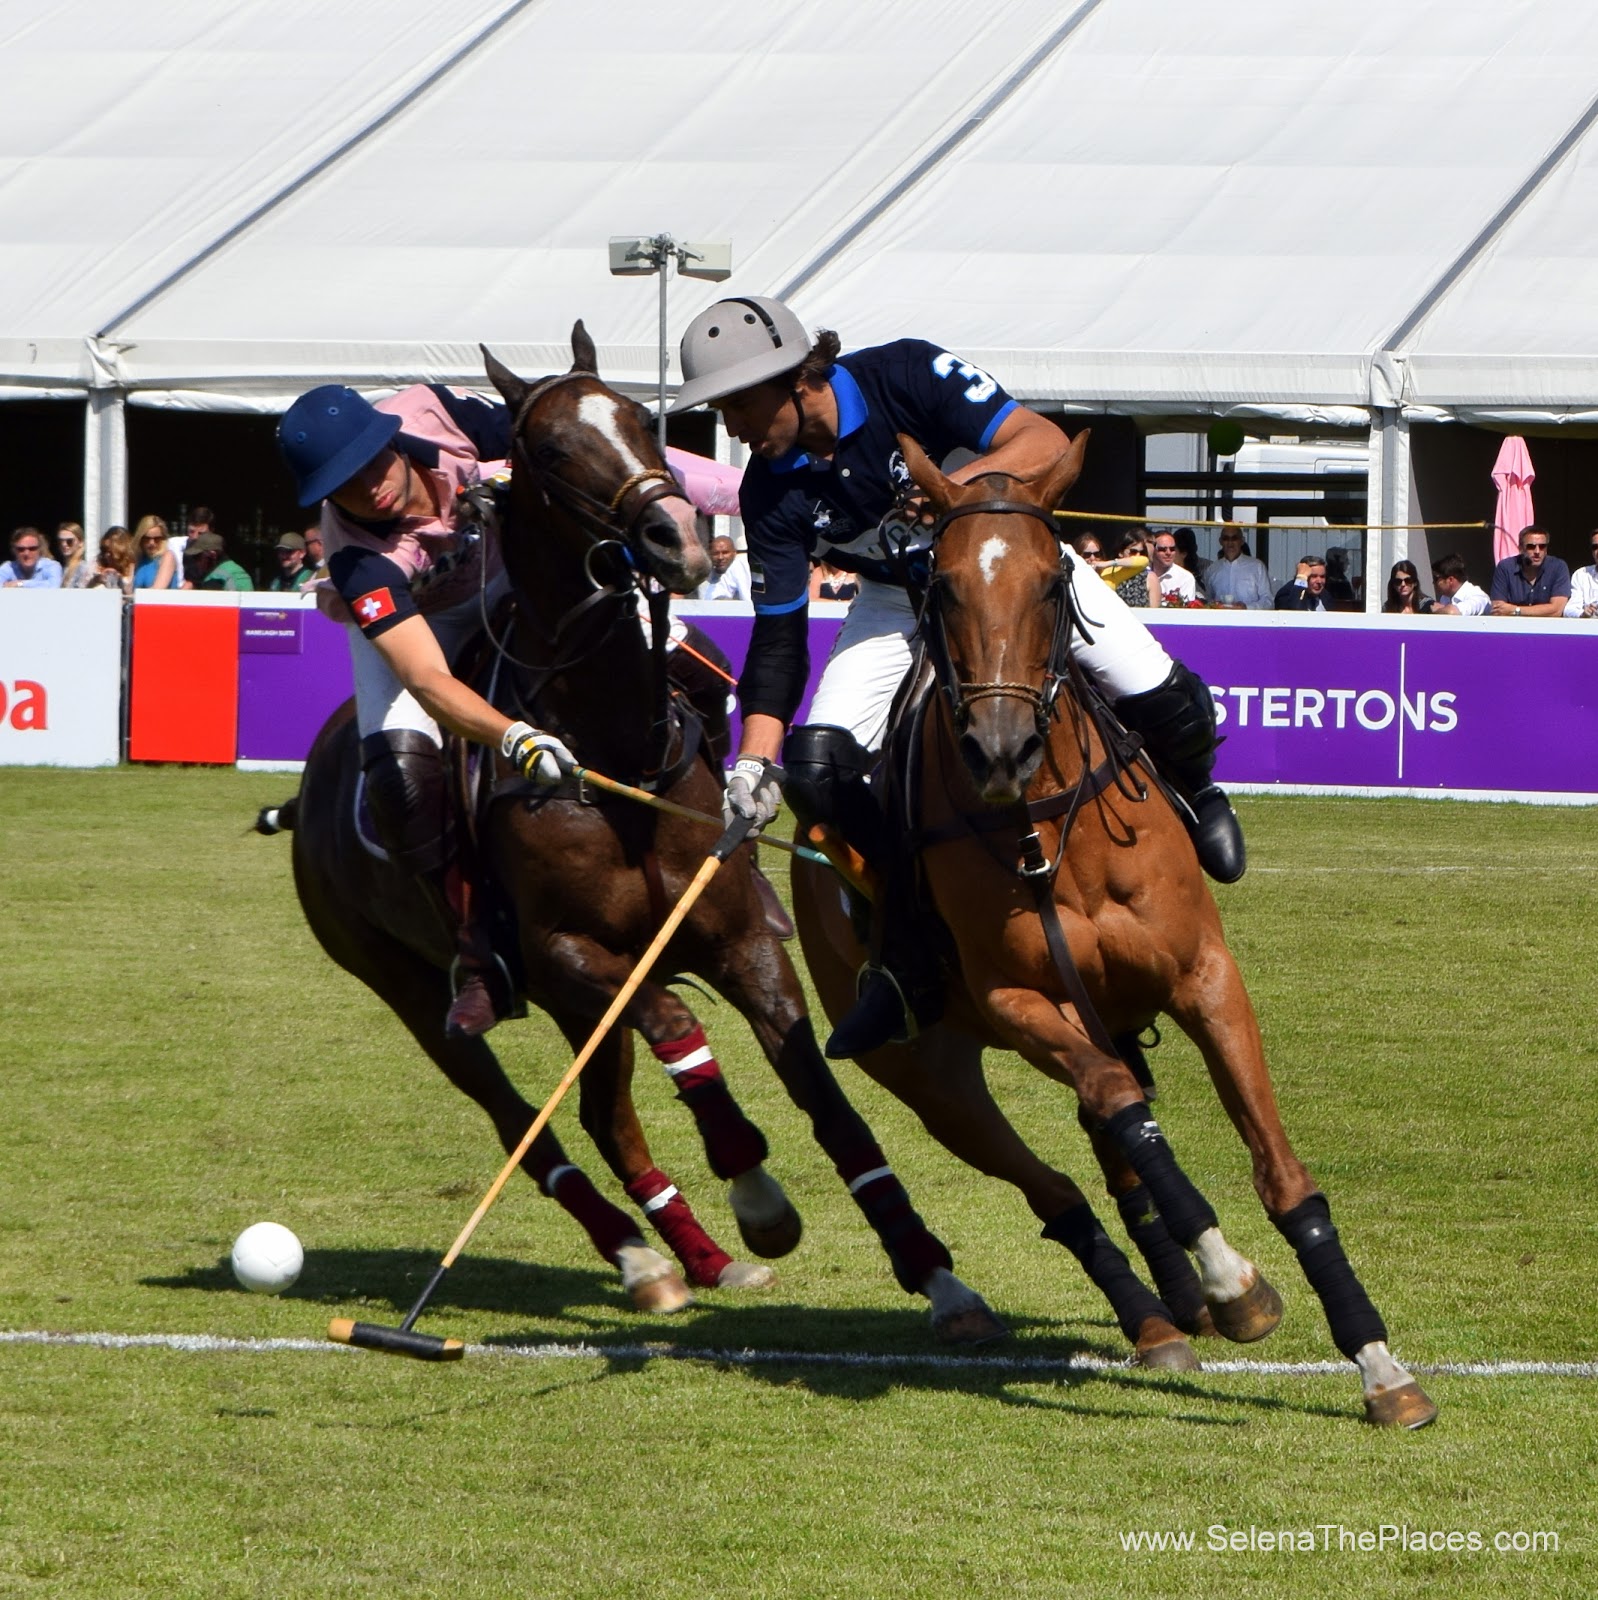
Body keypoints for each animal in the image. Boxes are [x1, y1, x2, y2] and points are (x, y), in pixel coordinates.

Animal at [281, 328, 991, 1337]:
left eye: (639, 420)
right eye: (548, 451)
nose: (677, 538)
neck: (612, 747)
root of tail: (309, 790)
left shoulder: (739, 938)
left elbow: (827, 1102)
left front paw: (936, 1276)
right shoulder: (567, 955)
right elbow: (679, 1027)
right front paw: (758, 1193)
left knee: (602, 1116)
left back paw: (693, 1258)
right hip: (411, 988)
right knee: (525, 1122)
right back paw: (637, 1252)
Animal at [799, 432, 1439, 1433]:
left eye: (1051, 581)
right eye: (942, 586)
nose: (999, 750)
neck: (1044, 826)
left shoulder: (1205, 977)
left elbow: (1280, 1174)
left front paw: (1380, 1367)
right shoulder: (1017, 1000)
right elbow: (1119, 1110)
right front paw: (1234, 1283)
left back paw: (1176, 1304)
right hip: (929, 1072)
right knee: (1063, 1176)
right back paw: (1157, 1313)